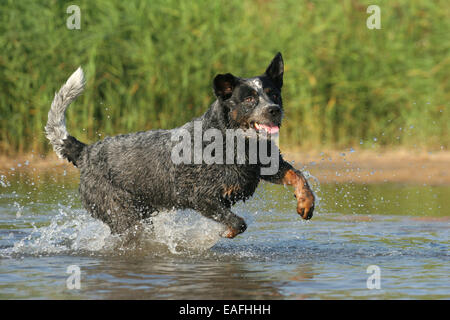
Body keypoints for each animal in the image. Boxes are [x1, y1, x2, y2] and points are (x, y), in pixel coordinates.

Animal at [44, 52, 312, 238]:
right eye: (248, 99)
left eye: (273, 93)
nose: (274, 110)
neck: (235, 143)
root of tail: (86, 151)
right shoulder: (201, 197)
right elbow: (238, 222)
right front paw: (223, 233)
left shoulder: (266, 167)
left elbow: (298, 176)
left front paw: (306, 204)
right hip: (123, 215)